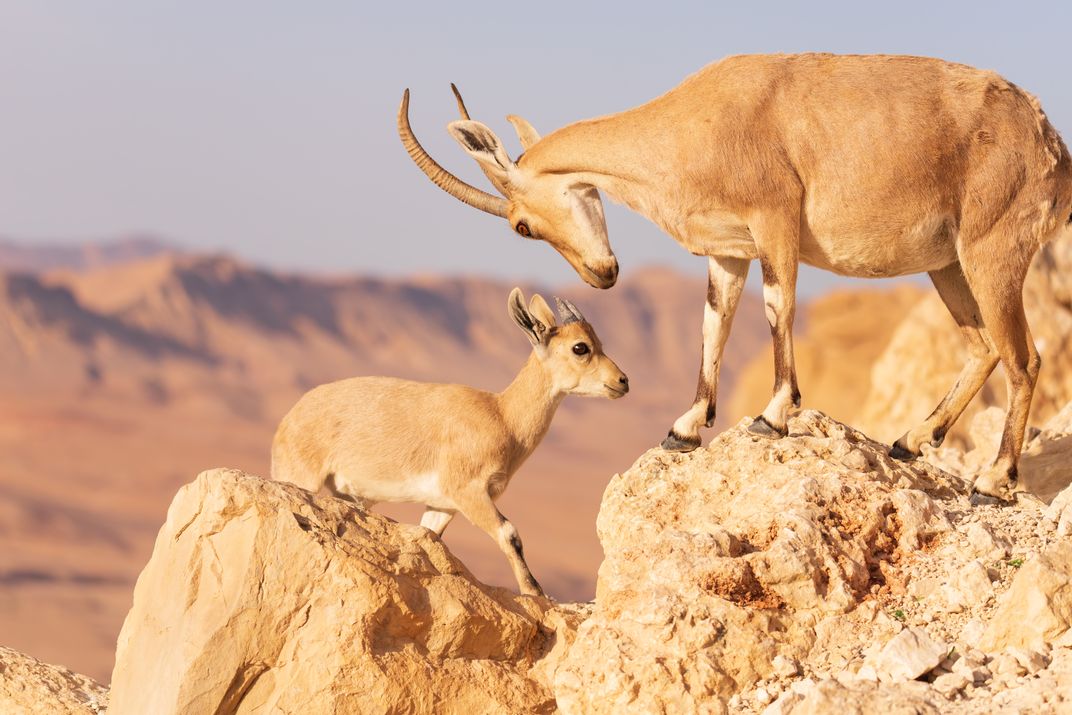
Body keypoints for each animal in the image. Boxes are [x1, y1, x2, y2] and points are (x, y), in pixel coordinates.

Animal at [271, 288, 628, 596]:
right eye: (580, 347)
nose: (622, 381)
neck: (502, 416)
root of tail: (288, 420)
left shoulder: (442, 504)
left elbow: (430, 535)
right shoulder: (468, 491)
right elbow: (509, 533)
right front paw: (534, 591)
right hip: (299, 477)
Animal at [398, 53, 1072, 501]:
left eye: (520, 227)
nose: (602, 275)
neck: (691, 125)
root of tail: (1049, 141)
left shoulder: (773, 219)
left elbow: (778, 307)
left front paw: (774, 414)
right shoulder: (727, 251)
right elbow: (713, 324)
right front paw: (685, 427)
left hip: (992, 250)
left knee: (1024, 358)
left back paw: (993, 479)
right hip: (948, 264)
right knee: (984, 347)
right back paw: (910, 439)